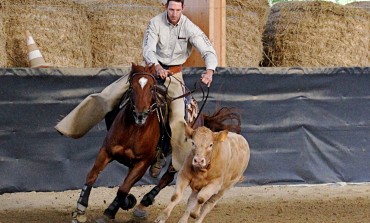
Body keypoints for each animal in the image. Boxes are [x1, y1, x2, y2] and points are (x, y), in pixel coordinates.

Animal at [71, 63, 241, 223]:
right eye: (131, 87)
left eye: (152, 88)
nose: (140, 114)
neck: (134, 129)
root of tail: (199, 116)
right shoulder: (106, 150)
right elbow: (92, 175)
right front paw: (80, 210)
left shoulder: (142, 162)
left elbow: (123, 189)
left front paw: (117, 208)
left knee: (167, 178)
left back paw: (143, 203)